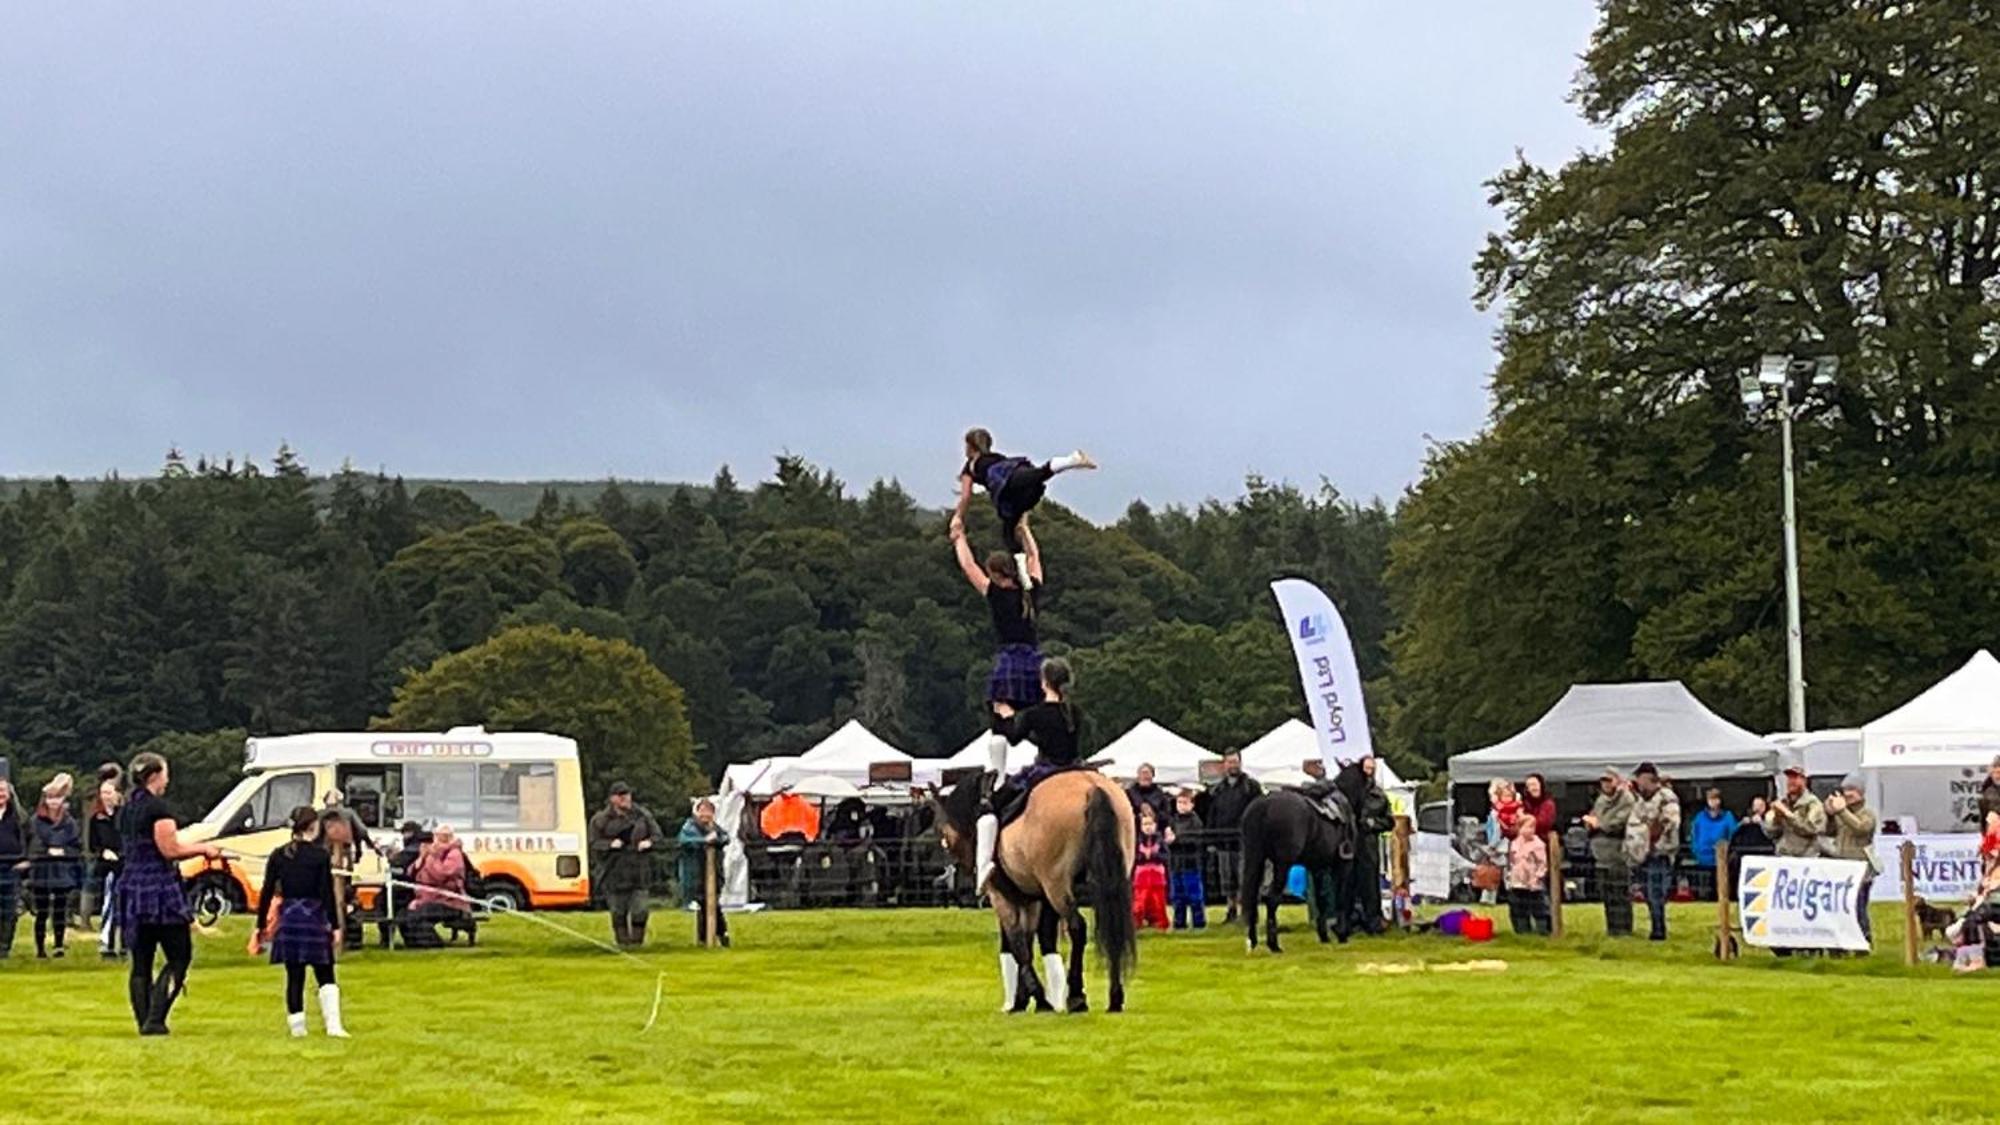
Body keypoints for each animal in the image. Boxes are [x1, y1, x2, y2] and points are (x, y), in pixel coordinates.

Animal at [928, 764, 1136, 1012]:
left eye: (943, 835)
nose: (964, 891)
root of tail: (1091, 785)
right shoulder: (1031, 900)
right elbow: (1026, 940)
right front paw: (1023, 999)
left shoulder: (1001, 897)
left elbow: (1017, 942)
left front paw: (1038, 998)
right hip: (1112, 883)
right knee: (1112, 924)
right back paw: (1115, 997)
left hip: (1057, 888)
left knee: (1077, 927)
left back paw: (1076, 996)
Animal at [1232, 784, 1360, 948]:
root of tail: (1264, 805)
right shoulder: (1343, 865)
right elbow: (1340, 898)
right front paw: (1341, 934)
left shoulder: (1317, 868)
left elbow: (1321, 900)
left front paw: (1324, 935)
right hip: (1282, 865)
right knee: (1271, 898)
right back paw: (1274, 945)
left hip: (1256, 859)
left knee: (1253, 899)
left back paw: (1253, 941)